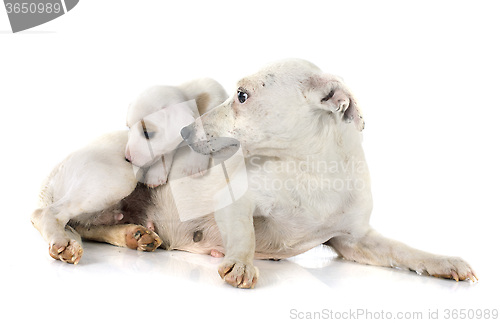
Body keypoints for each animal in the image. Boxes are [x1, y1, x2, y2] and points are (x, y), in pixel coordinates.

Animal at [31, 60, 476, 292]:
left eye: (243, 96)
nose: (185, 133)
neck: (310, 171)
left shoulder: (354, 241)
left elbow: (406, 251)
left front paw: (445, 262)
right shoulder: (235, 199)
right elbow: (243, 231)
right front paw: (242, 264)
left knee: (90, 224)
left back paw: (132, 235)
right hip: (116, 178)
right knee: (49, 216)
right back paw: (63, 243)